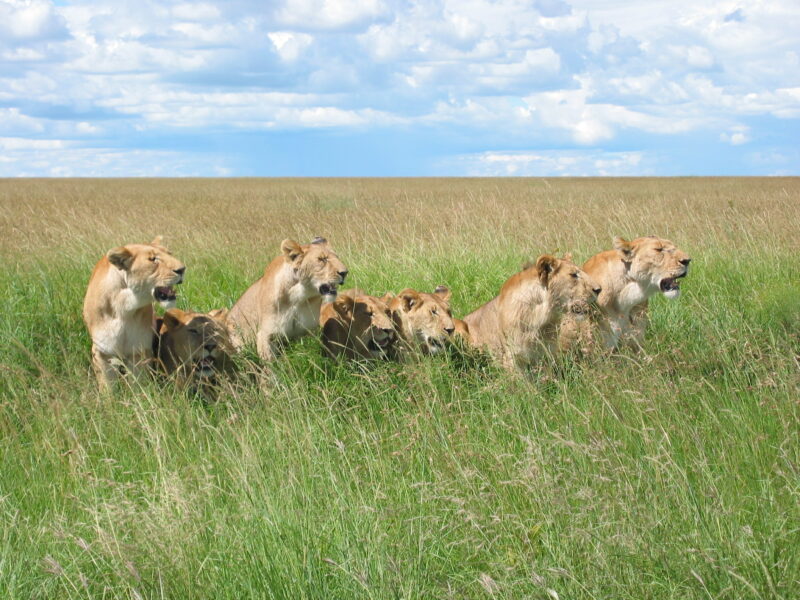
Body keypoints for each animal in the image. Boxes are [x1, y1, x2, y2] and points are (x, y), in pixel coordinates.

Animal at [82, 237, 186, 392]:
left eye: (170, 253)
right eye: (153, 259)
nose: (182, 269)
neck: (124, 308)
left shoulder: (139, 351)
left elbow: (139, 384)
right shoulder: (102, 352)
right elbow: (107, 387)